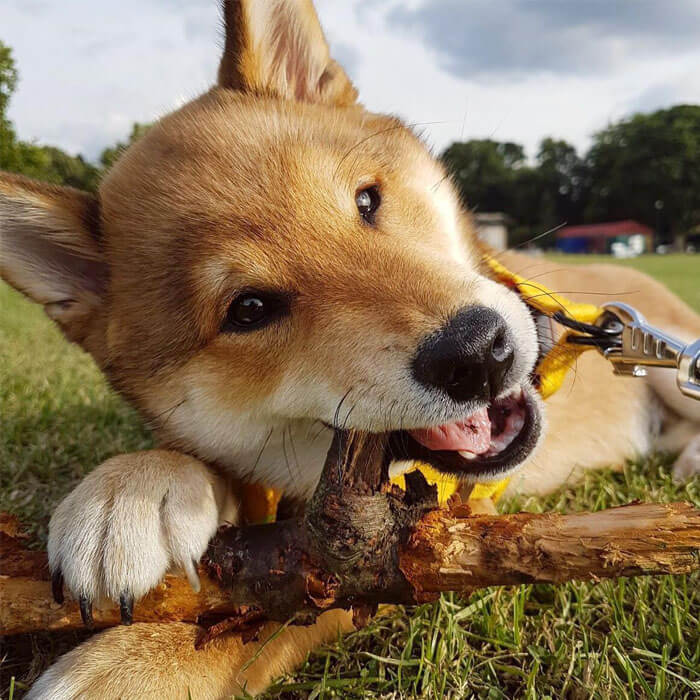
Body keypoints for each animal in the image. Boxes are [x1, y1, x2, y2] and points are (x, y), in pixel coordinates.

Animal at [1, 0, 700, 696]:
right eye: (248, 310)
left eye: (367, 201)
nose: (480, 352)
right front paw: (132, 495)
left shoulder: (396, 548)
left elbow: (260, 621)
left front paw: (125, 666)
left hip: (671, 365)